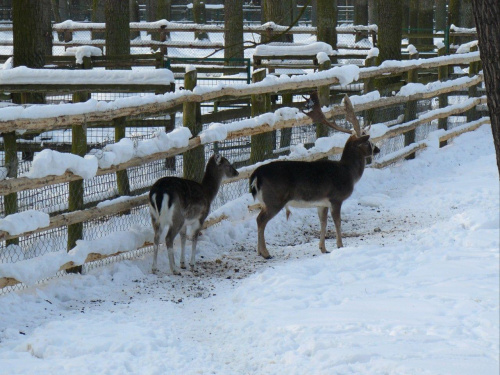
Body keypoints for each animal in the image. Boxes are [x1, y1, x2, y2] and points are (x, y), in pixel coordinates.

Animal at [250, 93, 378, 258]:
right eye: (368, 142)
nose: (378, 149)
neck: (348, 172)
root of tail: (256, 175)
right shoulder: (336, 198)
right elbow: (338, 222)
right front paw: (340, 245)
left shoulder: (321, 203)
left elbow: (323, 222)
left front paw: (323, 248)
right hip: (274, 199)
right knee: (260, 220)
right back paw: (265, 253)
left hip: (266, 201)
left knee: (258, 219)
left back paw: (260, 251)